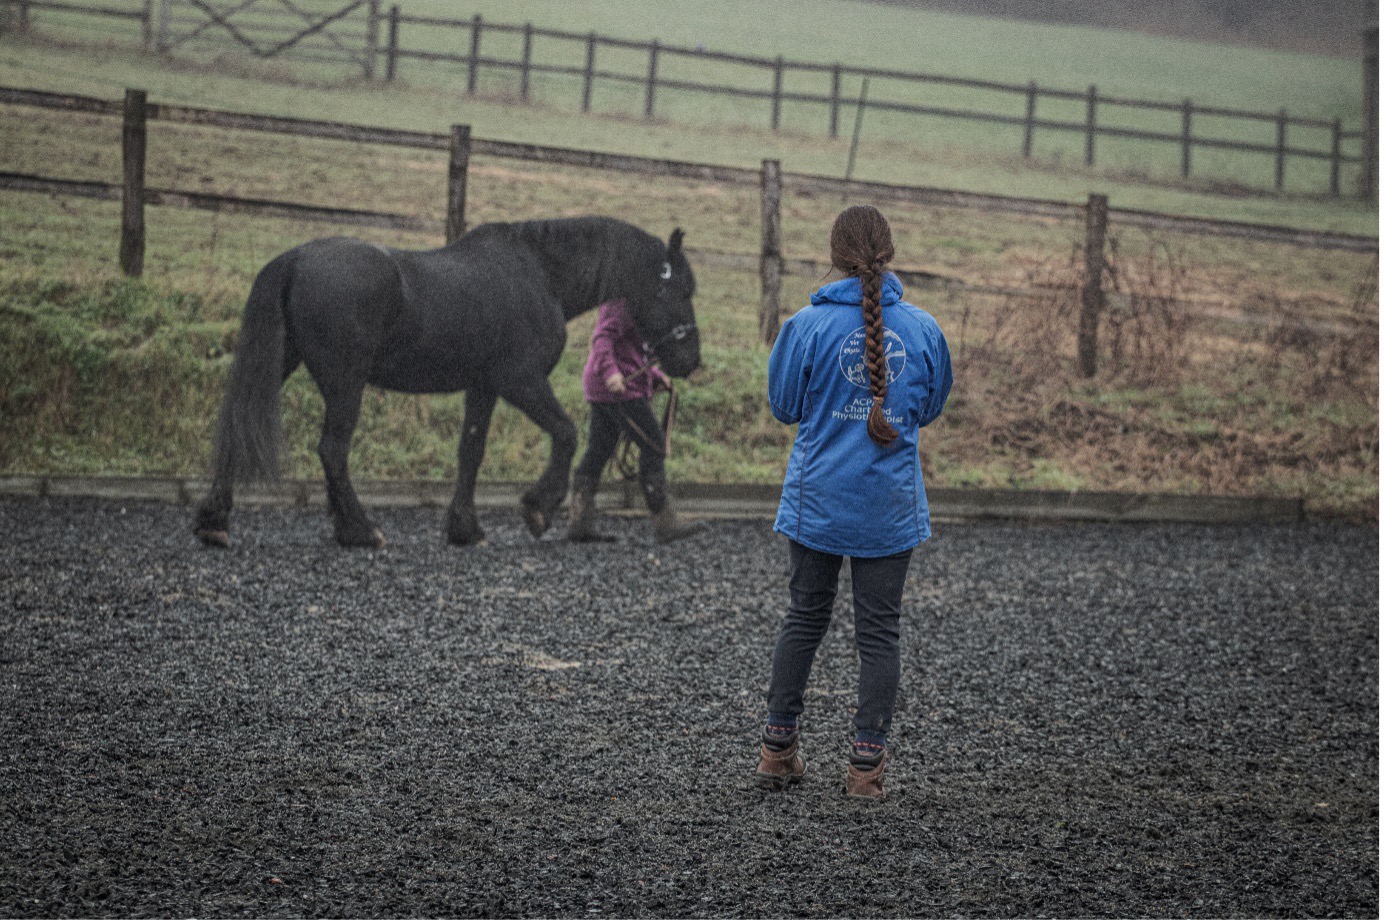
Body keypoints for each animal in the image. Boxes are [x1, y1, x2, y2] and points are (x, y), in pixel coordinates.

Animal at [193, 216, 700, 548]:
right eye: (680, 290)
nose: (691, 359)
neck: (540, 276)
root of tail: (295, 259)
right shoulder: (520, 380)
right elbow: (565, 432)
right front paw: (539, 506)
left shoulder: (484, 386)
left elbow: (470, 451)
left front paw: (464, 528)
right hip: (345, 383)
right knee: (333, 450)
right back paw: (361, 530)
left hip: (285, 364)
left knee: (241, 428)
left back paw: (215, 521)